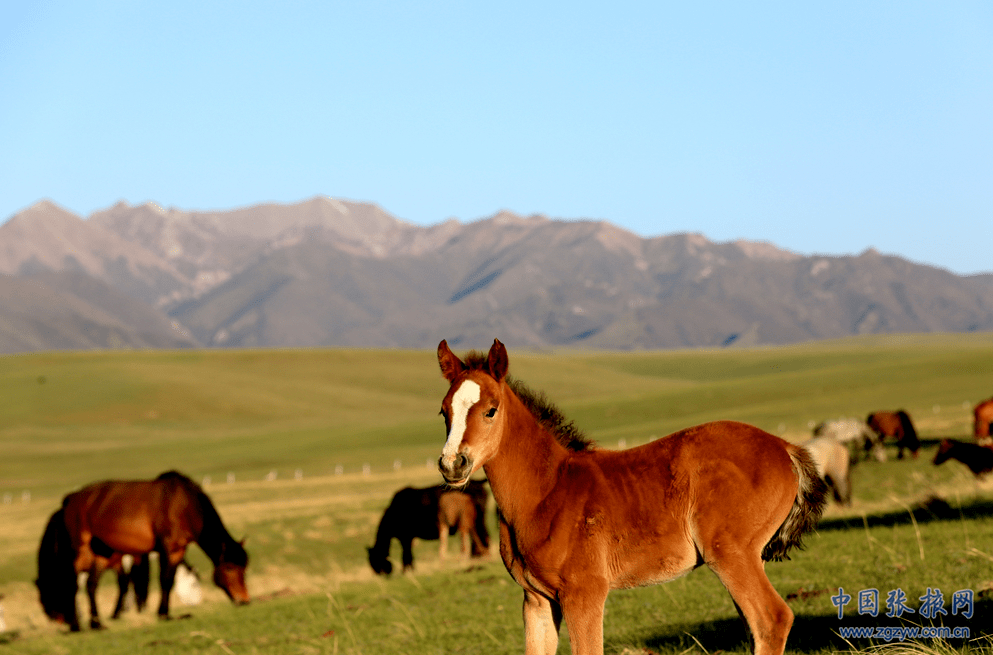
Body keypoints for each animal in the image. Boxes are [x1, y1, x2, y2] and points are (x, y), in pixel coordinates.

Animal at [38, 472, 248, 632]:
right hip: (81, 551)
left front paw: (164, 613)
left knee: (91, 585)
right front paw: (162, 614)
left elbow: (166, 581)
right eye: (229, 567)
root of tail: (70, 499)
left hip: (102, 553)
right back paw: (76, 626)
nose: (244, 600)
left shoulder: (177, 550)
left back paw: (96, 624)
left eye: (244, 568)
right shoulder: (166, 548)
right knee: (72, 583)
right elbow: (163, 580)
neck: (185, 505)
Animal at [438, 338, 824, 655]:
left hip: (731, 554)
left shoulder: (584, 593)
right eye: (444, 412)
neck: (545, 491)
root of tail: (784, 447)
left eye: (491, 409)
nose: (452, 463)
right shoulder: (535, 600)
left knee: (772, 620)